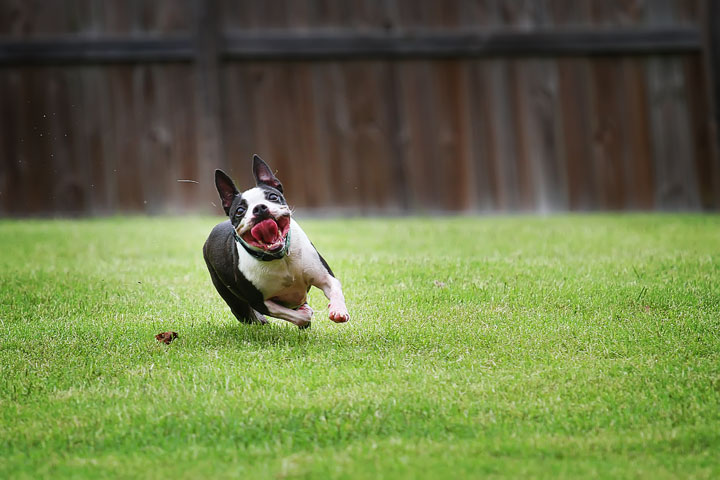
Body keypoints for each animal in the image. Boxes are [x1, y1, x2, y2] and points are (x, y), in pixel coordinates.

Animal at [201, 156, 350, 328]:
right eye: (240, 211)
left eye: (273, 197)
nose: (259, 208)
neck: (280, 257)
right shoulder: (260, 302)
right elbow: (299, 317)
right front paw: (305, 313)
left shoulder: (325, 277)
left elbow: (335, 289)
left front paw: (338, 310)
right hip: (236, 303)